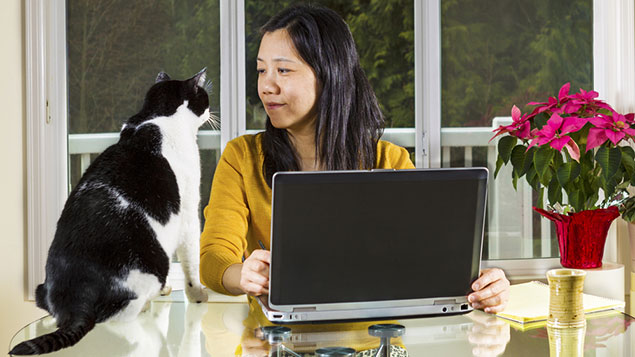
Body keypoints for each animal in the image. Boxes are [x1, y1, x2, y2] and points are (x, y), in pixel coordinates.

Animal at [9, 69, 212, 354]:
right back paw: (149, 302)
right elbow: (191, 264)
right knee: (125, 314)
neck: (157, 116)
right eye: (204, 97)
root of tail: (78, 302)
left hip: (42, 290)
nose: (211, 112)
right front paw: (197, 294)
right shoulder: (189, 214)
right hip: (150, 270)